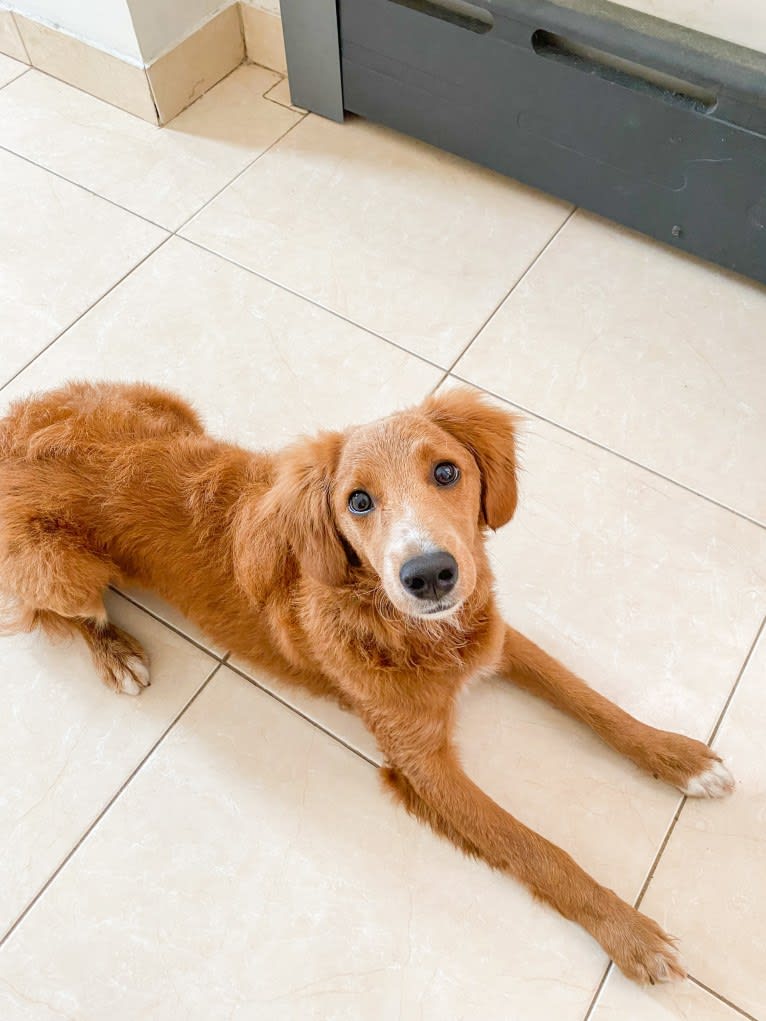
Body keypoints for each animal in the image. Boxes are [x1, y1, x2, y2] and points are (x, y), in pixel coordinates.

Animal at [0, 381, 735, 980]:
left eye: (447, 471)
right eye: (357, 501)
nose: (430, 574)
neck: (407, 625)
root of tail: (10, 431)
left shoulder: (494, 638)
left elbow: (590, 700)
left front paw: (679, 756)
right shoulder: (422, 766)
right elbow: (538, 850)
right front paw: (629, 932)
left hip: (169, 405)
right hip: (63, 571)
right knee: (49, 615)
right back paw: (116, 651)